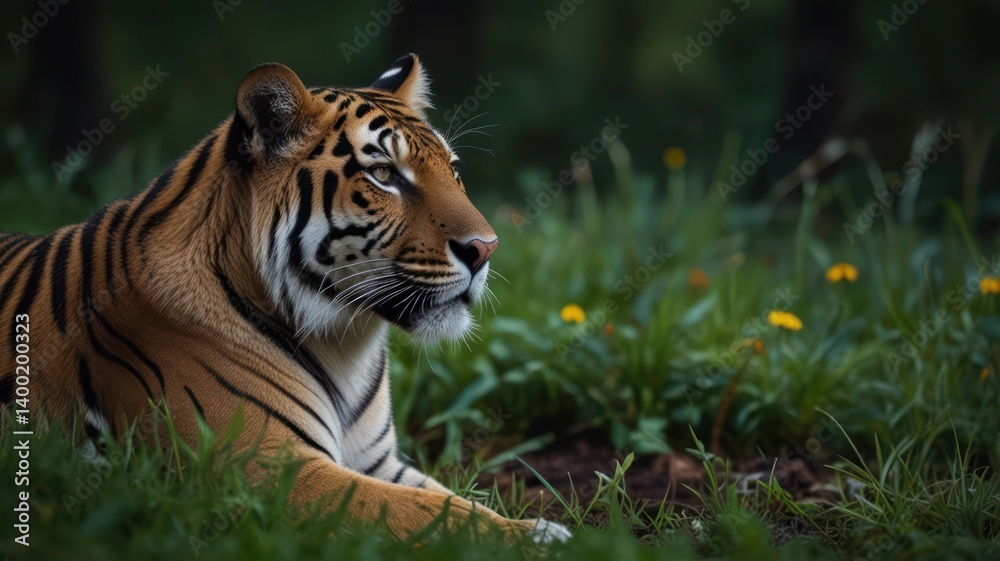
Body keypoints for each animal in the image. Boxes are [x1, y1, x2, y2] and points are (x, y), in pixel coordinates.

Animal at [0, 54, 570, 543]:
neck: (346, 341)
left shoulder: (381, 463)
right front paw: (544, 539)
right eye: (384, 174)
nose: (486, 248)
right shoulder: (268, 467)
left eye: (452, 170)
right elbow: (430, 513)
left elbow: (457, 500)